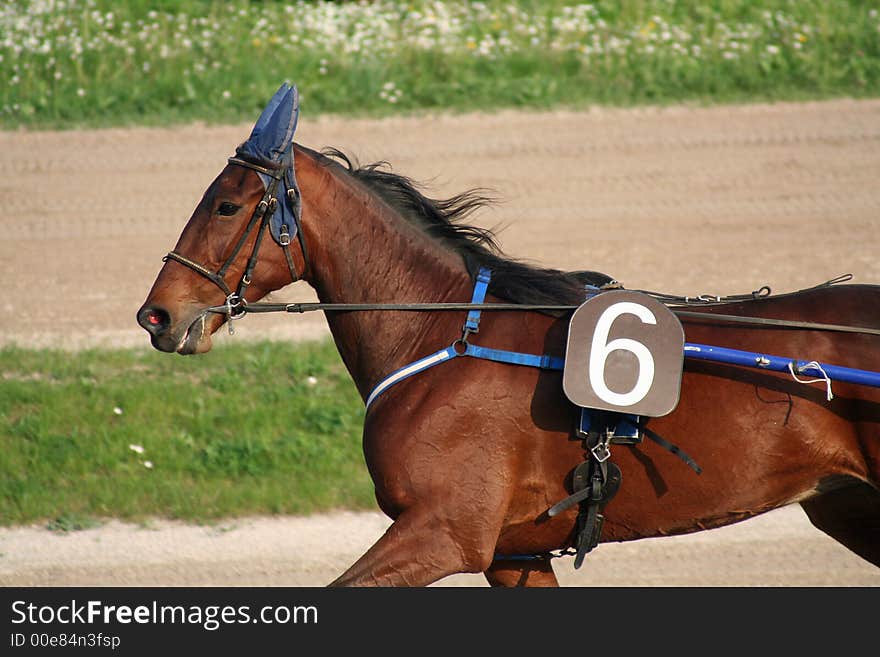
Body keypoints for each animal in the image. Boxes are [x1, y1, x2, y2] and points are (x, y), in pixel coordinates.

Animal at [134, 83, 876, 584]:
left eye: (227, 204)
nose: (158, 314)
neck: (443, 336)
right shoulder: (514, 549)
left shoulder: (445, 531)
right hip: (848, 506)